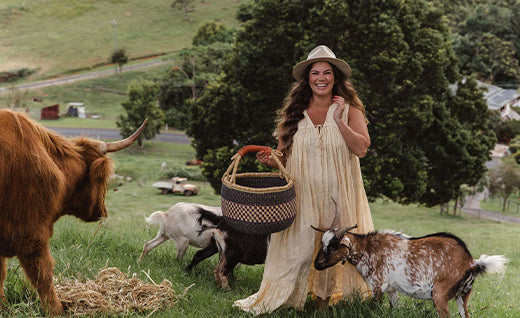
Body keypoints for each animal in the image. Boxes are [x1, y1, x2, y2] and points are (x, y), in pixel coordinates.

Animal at [312, 224, 508, 318]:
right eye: (322, 243)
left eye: (334, 246)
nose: (317, 264)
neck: (367, 249)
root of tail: (470, 262)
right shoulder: (391, 289)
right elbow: (393, 309)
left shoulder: (378, 286)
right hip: (463, 295)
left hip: (440, 295)